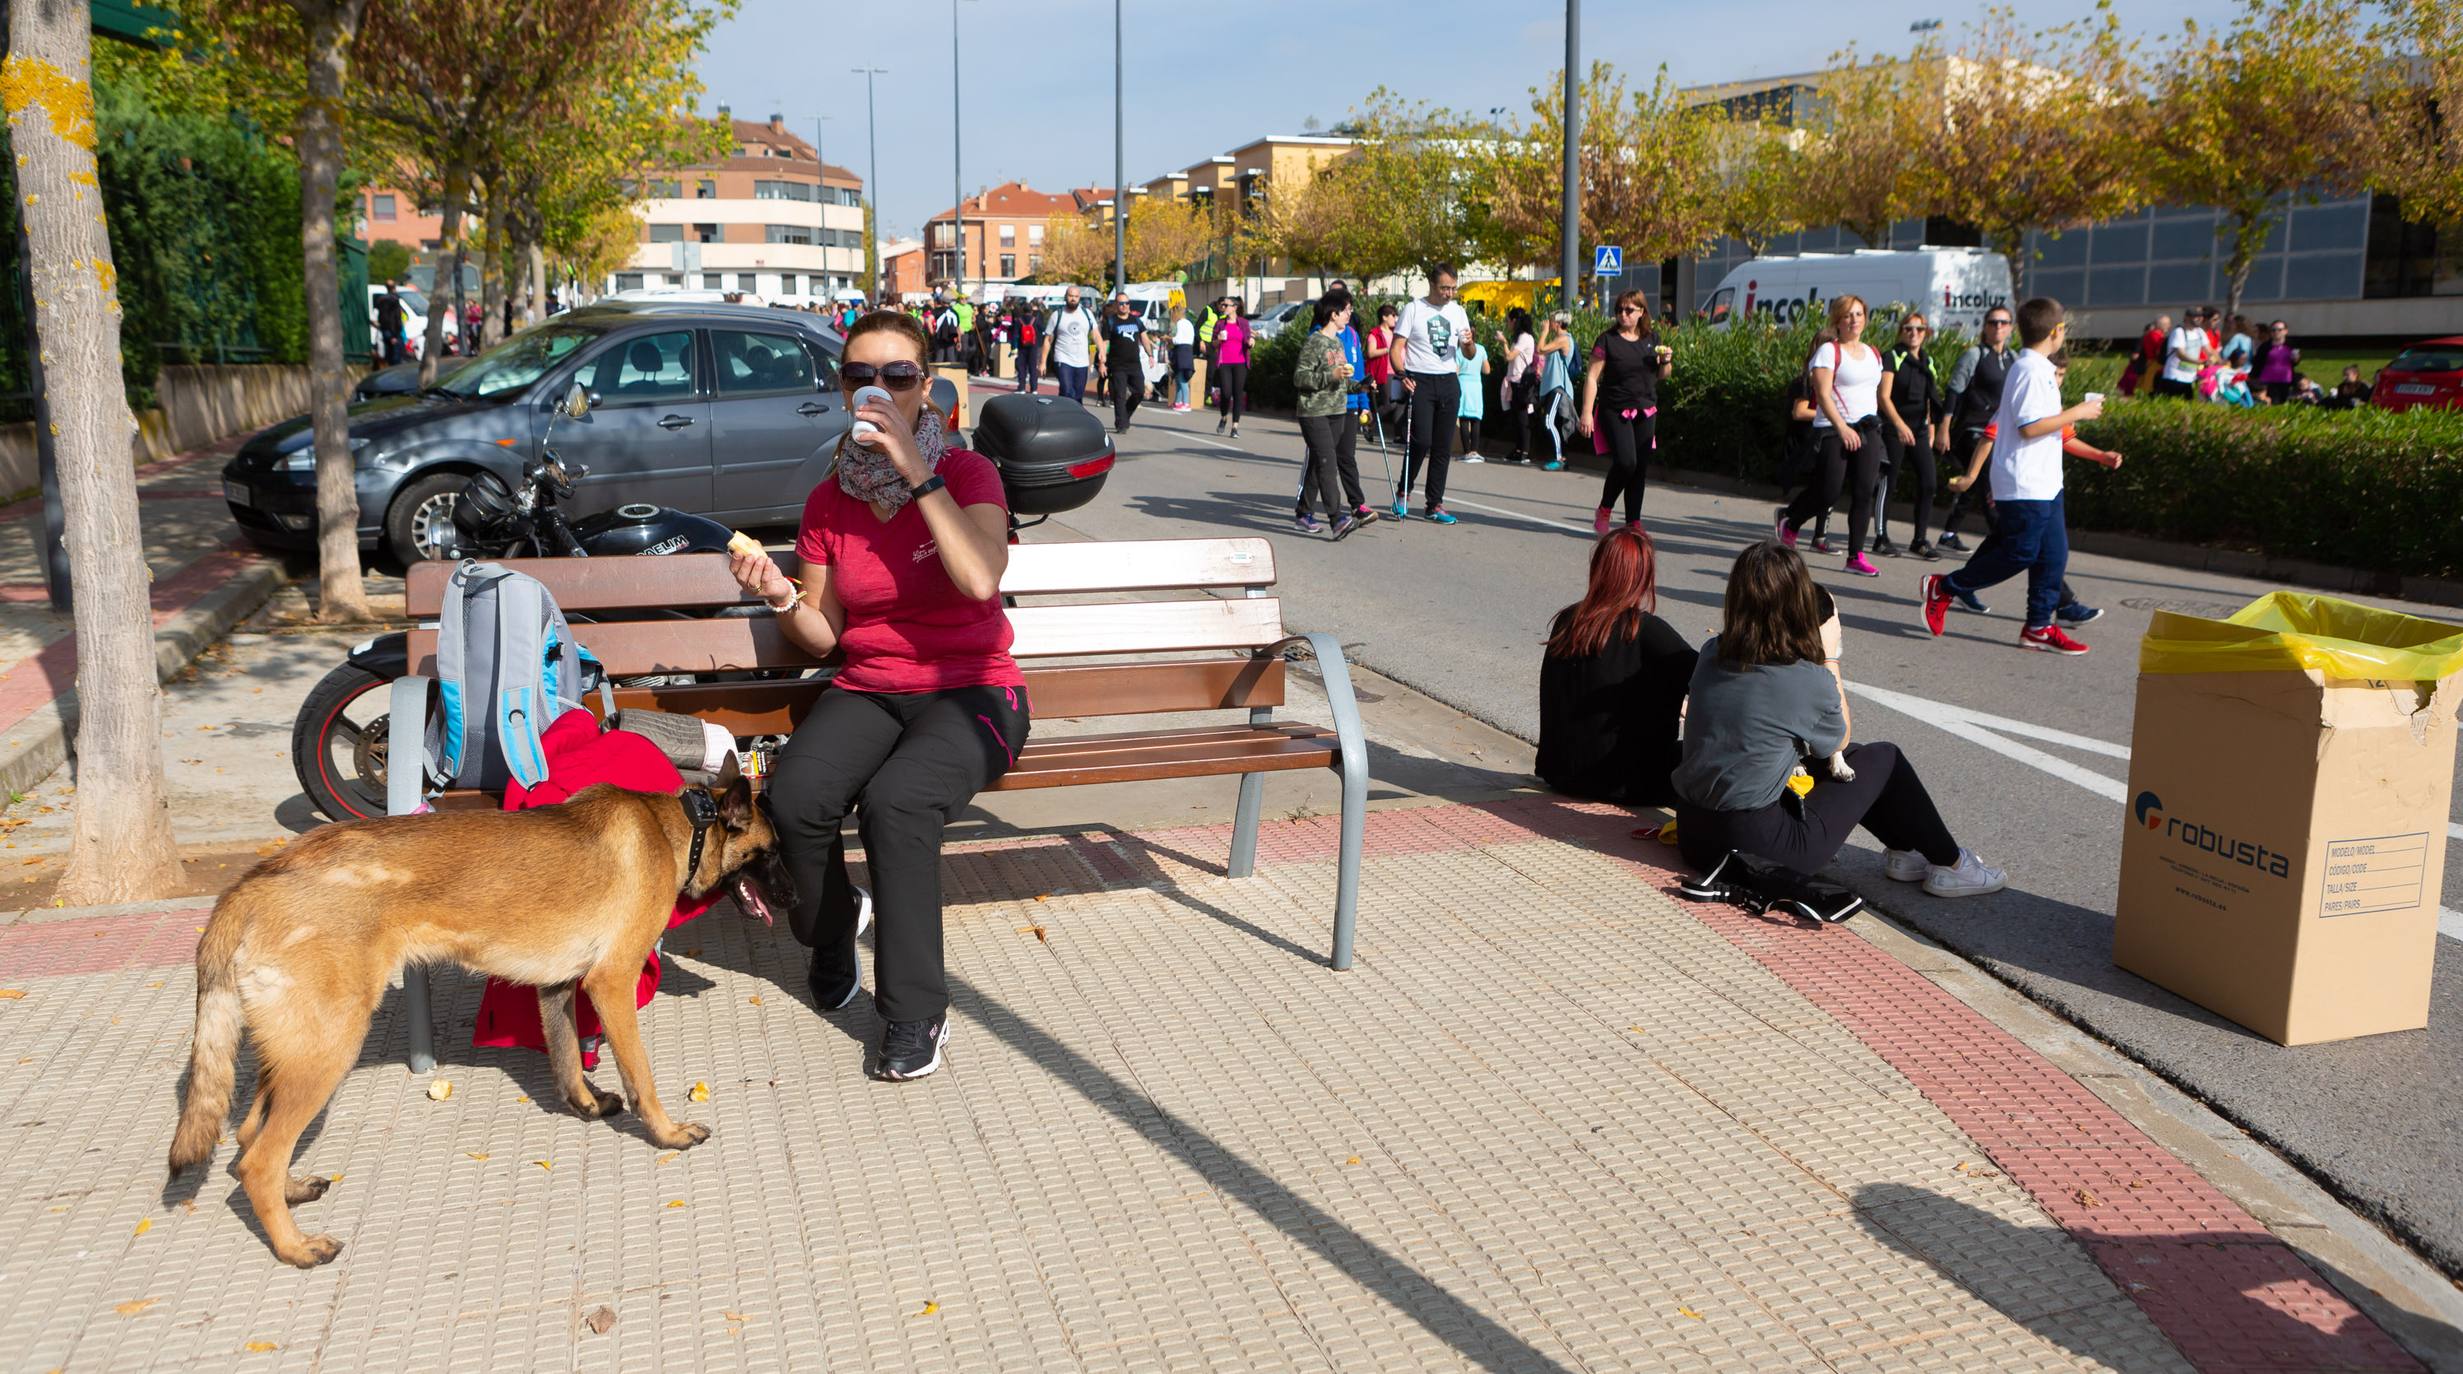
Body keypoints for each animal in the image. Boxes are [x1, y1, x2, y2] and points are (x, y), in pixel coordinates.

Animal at [168, 763, 783, 1270]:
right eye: (774, 854)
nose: (796, 898)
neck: (684, 825)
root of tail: (253, 883)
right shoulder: (611, 985)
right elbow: (643, 1081)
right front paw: (668, 1133)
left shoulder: (557, 988)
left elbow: (565, 1055)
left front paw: (586, 1105)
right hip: (327, 1050)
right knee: (258, 1161)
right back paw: (297, 1247)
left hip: (296, 1051)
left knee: (250, 1137)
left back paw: (293, 1191)